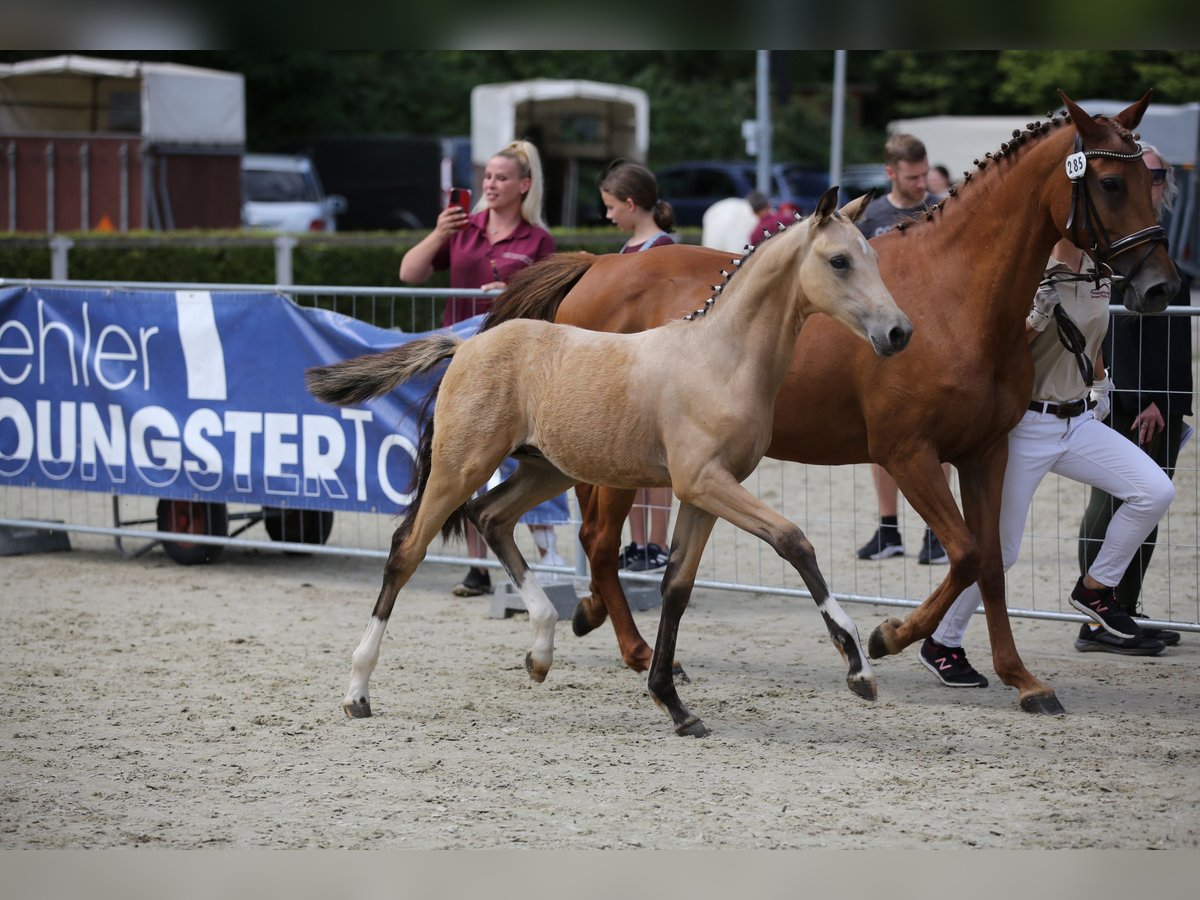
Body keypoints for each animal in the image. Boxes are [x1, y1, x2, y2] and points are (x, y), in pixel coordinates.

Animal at [309, 188, 907, 734]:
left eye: (876, 259)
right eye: (839, 260)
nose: (898, 332)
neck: (720, 359)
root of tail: (466, 347)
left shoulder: (704, 493)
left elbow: (677, 588)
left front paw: (674, 704)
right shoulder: (707, 483)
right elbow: (794, 541)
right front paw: (858, 667)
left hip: (545, 469)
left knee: (491, 516)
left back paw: (542, 650)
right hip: (462, 465)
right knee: (406, 550)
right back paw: (358, 691)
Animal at [480, 88, 1180, 715]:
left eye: (1152, 182)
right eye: (1110, 184)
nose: (1159, 288)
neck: (956, 294)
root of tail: (596, 265)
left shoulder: (987, 453)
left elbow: (990, 564)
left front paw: (1021, 678)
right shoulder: (908, 454)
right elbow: (965, 553)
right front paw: (887, 636)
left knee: (594, 539)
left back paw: (607, 628)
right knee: (598, 540)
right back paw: (637, 649)